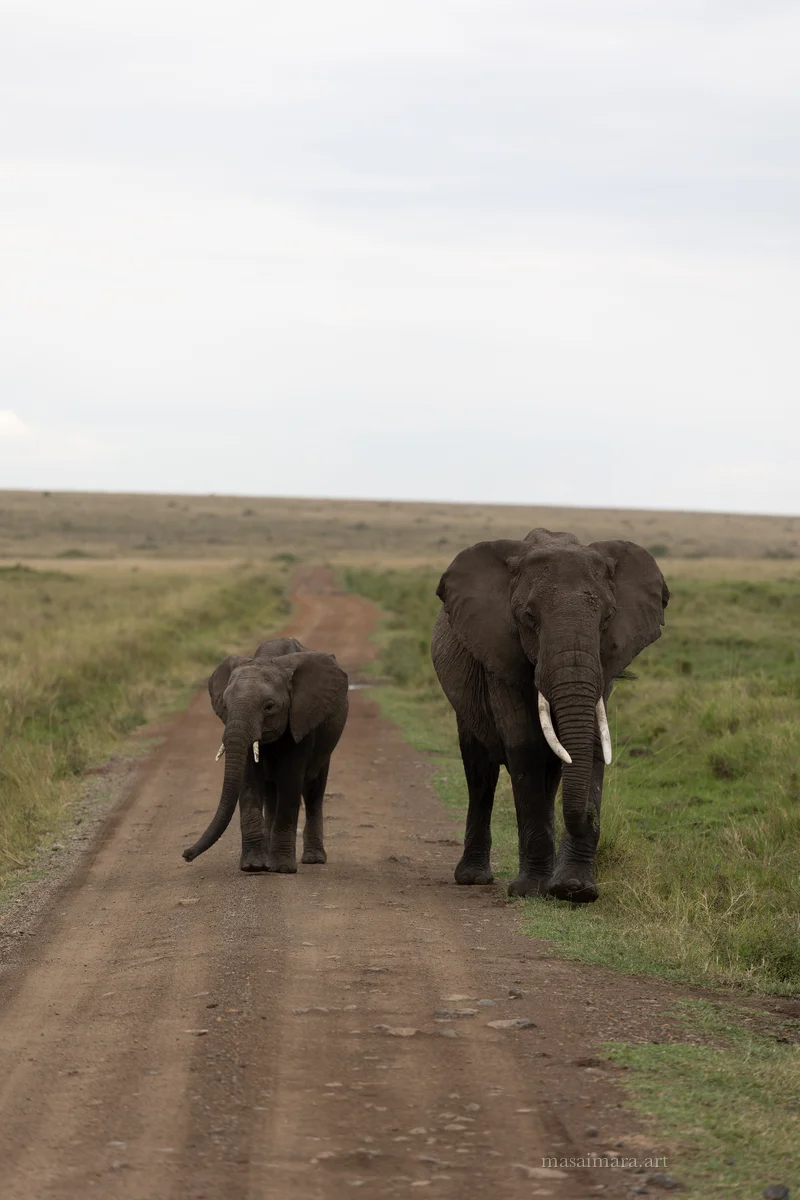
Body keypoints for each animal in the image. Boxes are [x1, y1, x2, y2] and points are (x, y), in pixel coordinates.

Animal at [182, 636, 349, 873]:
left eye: (269, 707)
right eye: (225, 706)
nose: (186, 855)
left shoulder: (301, 718)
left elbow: (290, 779)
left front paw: (283, 869)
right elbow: (249, 781)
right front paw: (253, 866)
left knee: (313, 790)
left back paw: (313, 859)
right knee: (272, 792)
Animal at [431, 529, 668, 903]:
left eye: (607, 618)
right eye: (529, 617)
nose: (591, 816)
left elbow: (592, 743)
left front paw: (575, 890)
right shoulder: (498, 654)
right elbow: (524, 745)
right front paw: (532, 891)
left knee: (552, 772)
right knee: (480, 773)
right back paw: (473, 878)